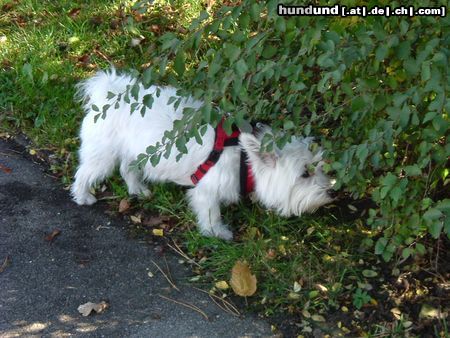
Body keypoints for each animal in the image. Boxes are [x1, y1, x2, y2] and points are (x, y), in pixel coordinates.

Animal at [72, 68, 336, 239]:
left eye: (319, 166)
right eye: (304, 174)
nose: (332, 191)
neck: (244, 160)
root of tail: (106, 92)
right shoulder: (206, 191)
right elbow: (211, 214)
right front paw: (217, 233)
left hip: (135, 153)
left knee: (127, 169)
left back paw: (138, 190)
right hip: (102, 155)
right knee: (84, 173)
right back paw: (83, 196)